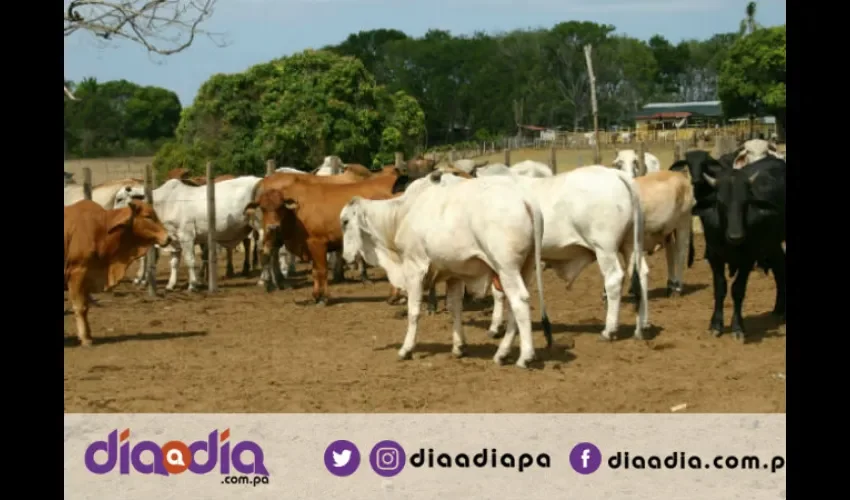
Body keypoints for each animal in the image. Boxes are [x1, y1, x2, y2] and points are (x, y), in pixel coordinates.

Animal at [64, 199, 171, 348]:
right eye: (148, 216)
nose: (169, 238)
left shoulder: (87, 277)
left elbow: (86, 307)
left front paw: (88, 335)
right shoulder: (77, 272)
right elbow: (80, 307)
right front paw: (85, 339)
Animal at [243, 174, 400, 302]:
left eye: (281, 207)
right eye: (263, 208)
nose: (273, 227)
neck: (297, 212)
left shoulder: (318, 243)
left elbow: (321, 271)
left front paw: (324, 297)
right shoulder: (310, 246)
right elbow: (314, 272)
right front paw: (316, 295)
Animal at [342, 172, 552, 368]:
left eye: (344, 222)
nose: (346, 256)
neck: (402, 213)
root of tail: (524, 199)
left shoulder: (414, 268)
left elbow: (413, 311)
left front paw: (406, 349)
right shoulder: (454, 274)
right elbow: (454, 307)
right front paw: (459, 347)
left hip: (506, 267)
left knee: (519, 301)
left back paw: (525, 356)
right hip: (526, 267)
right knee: (516, 305)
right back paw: (502, 353)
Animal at [474, 166, 644, 342]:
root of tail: (615, 173)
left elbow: (498, 292)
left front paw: (494, 327)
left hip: (604, 248)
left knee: (614, 279)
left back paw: (609, 331)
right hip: (632, 244)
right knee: (641, 274)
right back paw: (640, 328)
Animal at [672, 150, 784, 342]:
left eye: (746, 202)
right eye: (720, 202)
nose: (736, 236)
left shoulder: (748, 258)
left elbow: (737, 290)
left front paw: (737, 327)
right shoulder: (714, 256)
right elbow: (720, 288)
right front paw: (716, 325)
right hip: (773, 244)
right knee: (779, 269)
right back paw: (778, 309)